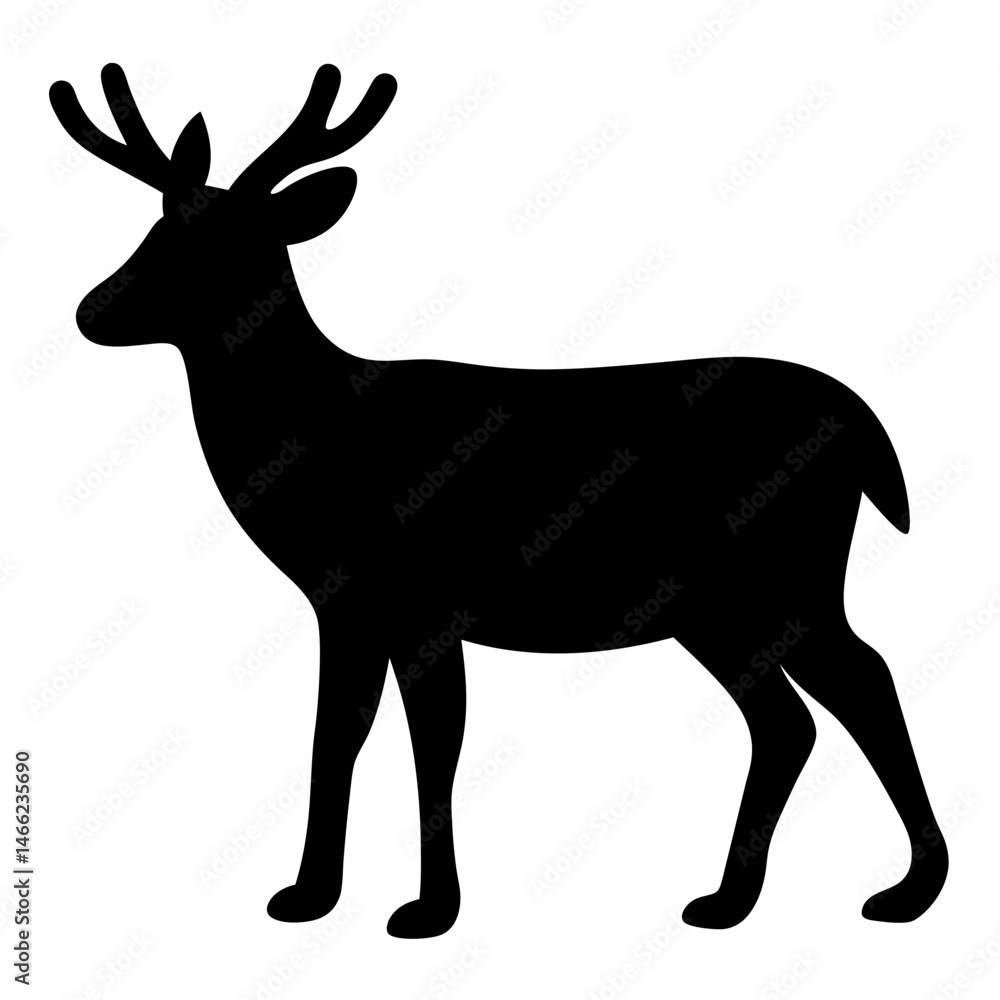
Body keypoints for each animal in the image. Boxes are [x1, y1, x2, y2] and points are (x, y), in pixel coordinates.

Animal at [50, 63, 949, 938]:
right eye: (154, 230)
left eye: (227, 243)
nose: (93, 309)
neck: (320, 440)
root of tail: (869, 433)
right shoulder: (347, 605)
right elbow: (336, 734)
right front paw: (307, 895)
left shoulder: (422, 599)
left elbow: (434, 740)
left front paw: (427, 910)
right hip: (716, 609)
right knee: (787, 719)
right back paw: (730, 900)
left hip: (784, 576)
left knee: (863, 678)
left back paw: (909, 889)